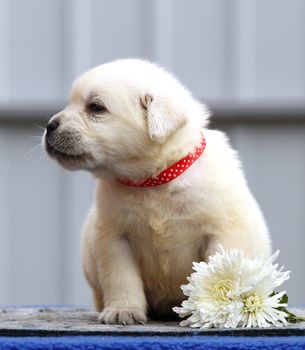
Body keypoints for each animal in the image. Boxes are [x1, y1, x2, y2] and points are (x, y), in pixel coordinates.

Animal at [43, 58, 270, 326]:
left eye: (96, 108)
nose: (49, 126)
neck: (153, 182)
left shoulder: (222, 233)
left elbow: (215, 275)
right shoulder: (114, 238)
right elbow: (121, 278)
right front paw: (123, 310)